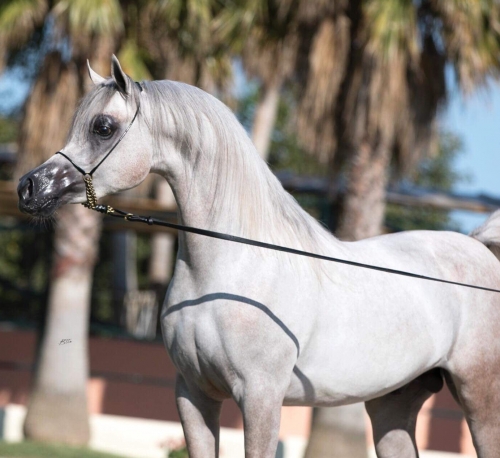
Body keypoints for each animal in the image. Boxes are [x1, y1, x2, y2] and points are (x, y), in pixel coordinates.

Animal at [17, 55, 500, 456]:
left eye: (103, 127)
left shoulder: (261, 397)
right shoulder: (192, 394)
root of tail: (479, 248)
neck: (230, 272)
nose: (29, 187)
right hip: (391, 405)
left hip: (479, 398)